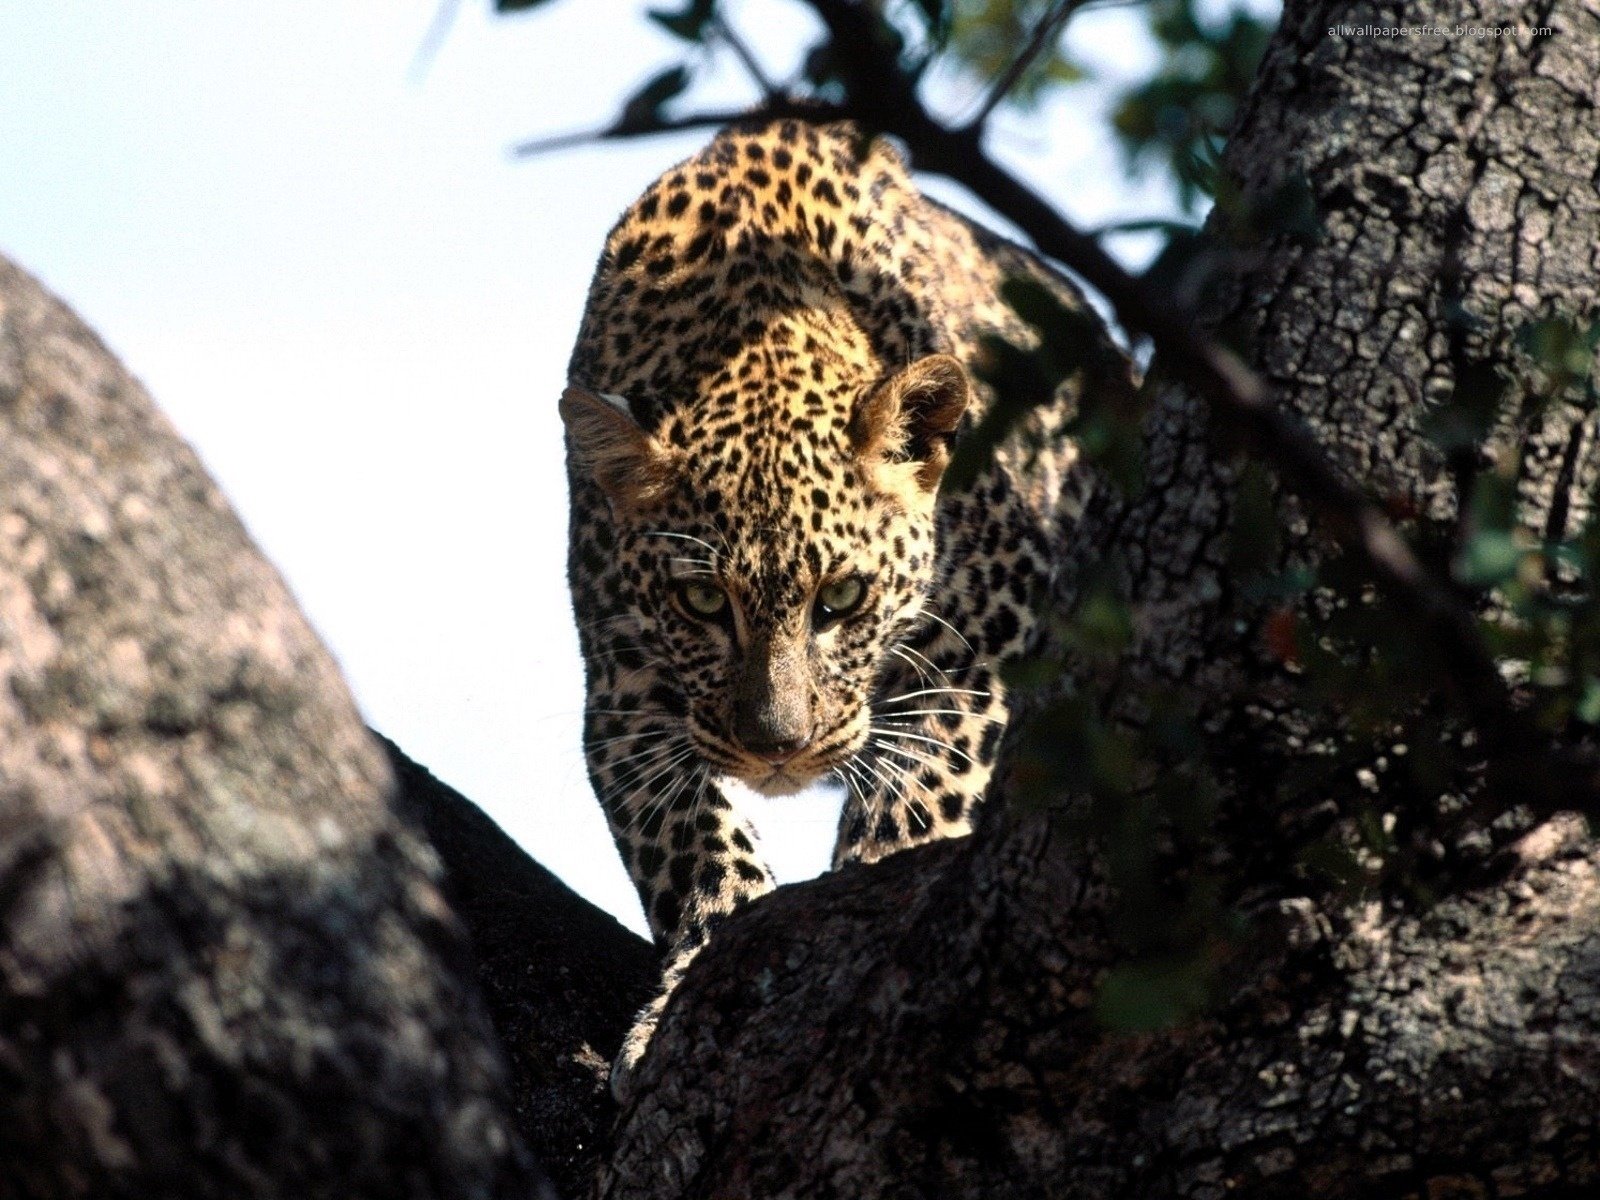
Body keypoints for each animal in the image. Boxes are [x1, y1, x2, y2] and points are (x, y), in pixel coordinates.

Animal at [560, 118, 1133, 1095]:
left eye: (843, 597)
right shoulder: (623, 696)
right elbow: (692, 846)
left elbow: (919, 800)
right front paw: (688, 988)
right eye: (702, 600)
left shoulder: (987, 636)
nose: (778, 749)